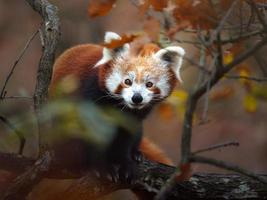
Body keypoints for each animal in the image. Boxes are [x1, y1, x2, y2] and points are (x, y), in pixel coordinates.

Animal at [49, 32, 184, 180]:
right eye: (127, 81)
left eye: (149, 84)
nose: (137, 98)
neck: (120, 107)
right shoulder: (90, 96)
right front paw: (100, 167)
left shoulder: (132, 118)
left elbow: (125, 138)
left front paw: (125, 164)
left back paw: (136, 153)